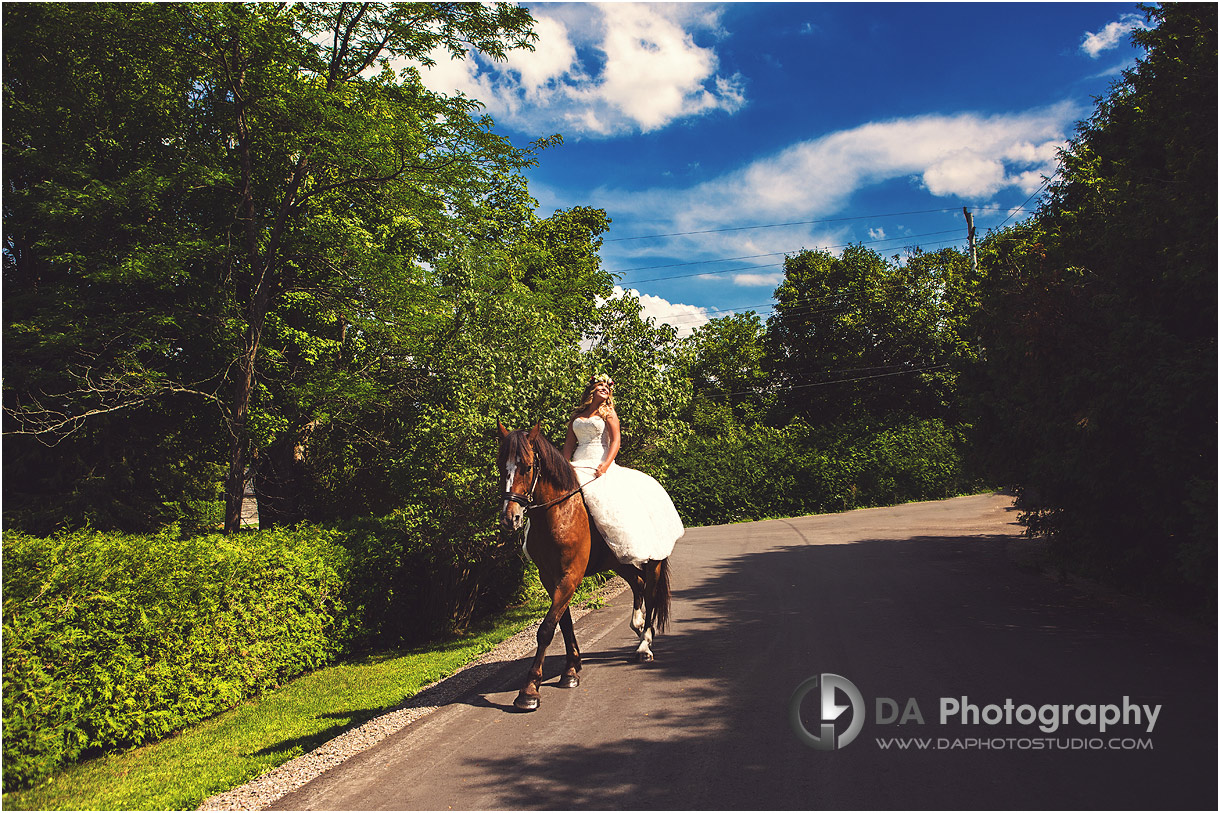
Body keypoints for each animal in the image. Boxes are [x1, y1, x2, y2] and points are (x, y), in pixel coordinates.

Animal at [497, 424, 678, 708]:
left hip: (653, 561)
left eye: (527, 467)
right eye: (499, 466)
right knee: (637, 584)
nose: (509, 518)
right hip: (620, 560)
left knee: (649, 593)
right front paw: (571, 670)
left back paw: (644, 646)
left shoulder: (570, 575)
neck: (559, 512)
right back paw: (637, 626)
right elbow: (564, 623)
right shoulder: (550, 577)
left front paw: (529, 690)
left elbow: (546, 629)